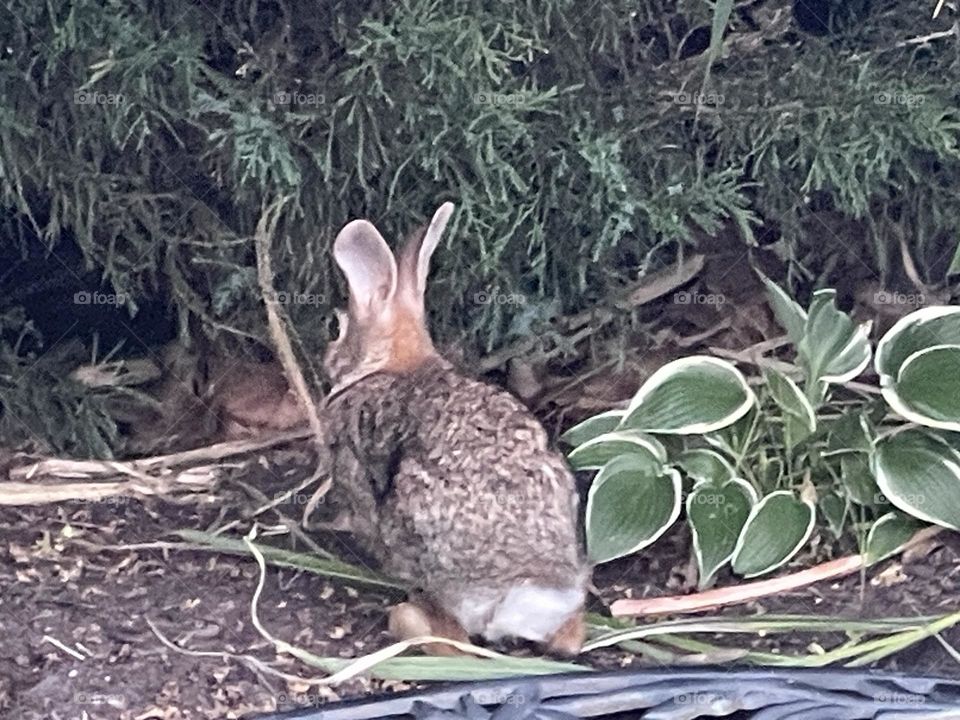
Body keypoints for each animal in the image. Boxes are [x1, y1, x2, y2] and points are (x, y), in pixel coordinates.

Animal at [321, 203, 589, 657]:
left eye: (335, 329)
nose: (327, 358)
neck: (393, 362)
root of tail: (528, 592)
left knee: (453, 641)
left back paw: (406, 619)